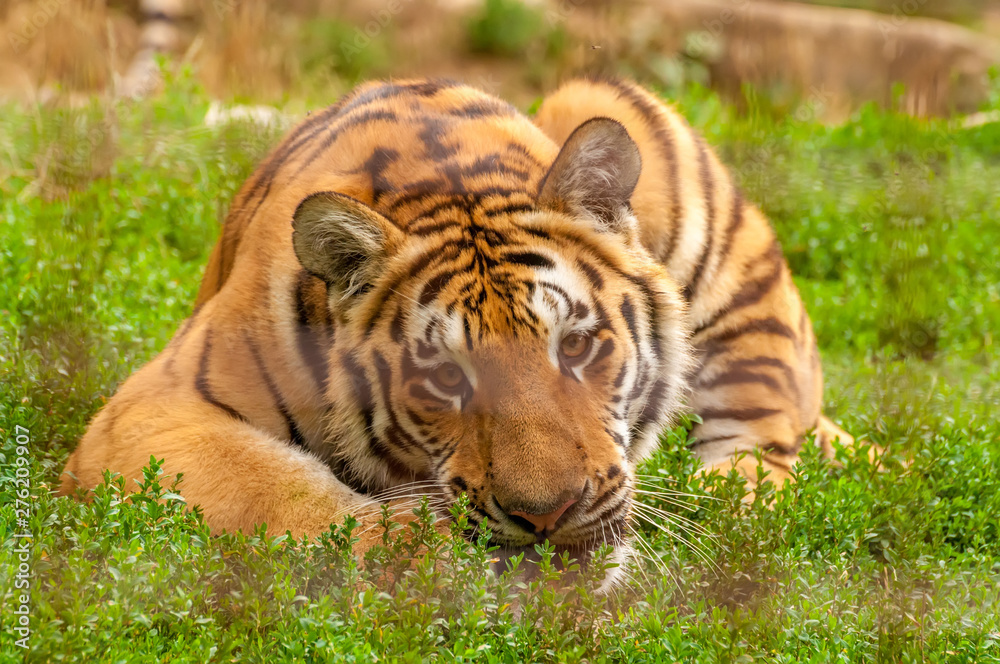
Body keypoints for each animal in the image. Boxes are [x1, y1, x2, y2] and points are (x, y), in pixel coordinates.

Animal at [59, 77, 852, 580]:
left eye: (575, 346)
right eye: (445, 378)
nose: (549, 517)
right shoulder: (153, 412)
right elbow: (280, 493)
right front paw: (430, 554)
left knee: (761, 438)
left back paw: (735, 502)